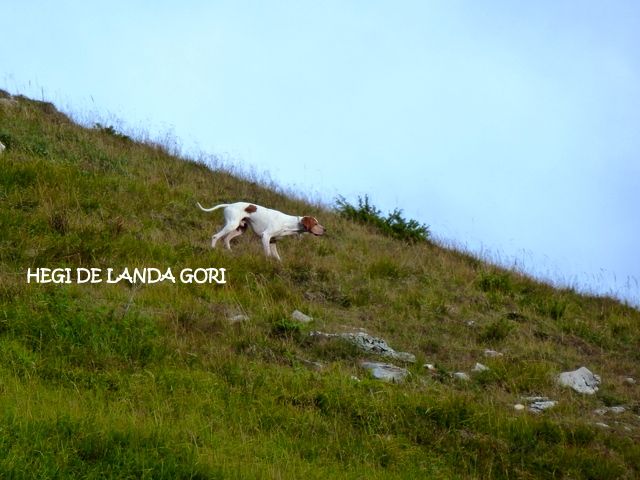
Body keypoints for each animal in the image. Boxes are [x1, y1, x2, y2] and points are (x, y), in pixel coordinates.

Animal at [195, 202, 324, 262]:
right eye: (315, 223)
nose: (325, 229)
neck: (289, 223)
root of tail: (230, 204)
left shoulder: (273, 241)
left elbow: (277, 257)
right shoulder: (265, 236)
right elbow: (267, 254)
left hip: (240, 229)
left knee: (226, 239)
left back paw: (230, 252)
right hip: (232, 225)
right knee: (215, 236)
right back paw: (212, 249)